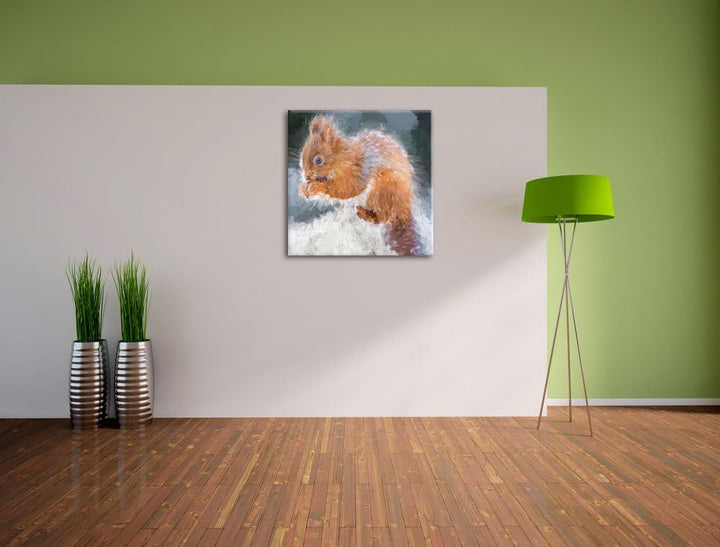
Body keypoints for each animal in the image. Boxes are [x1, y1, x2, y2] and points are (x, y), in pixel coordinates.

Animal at [298, 115, 420, 256]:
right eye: (302, 155)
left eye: (318, 160)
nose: (307, 176)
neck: (342, 158)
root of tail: (404, 208)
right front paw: (304, 189)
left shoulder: (359, 170)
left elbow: (347, 189)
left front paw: (316, 186)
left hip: (382, 193)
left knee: (382, 217)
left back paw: (365, 213)